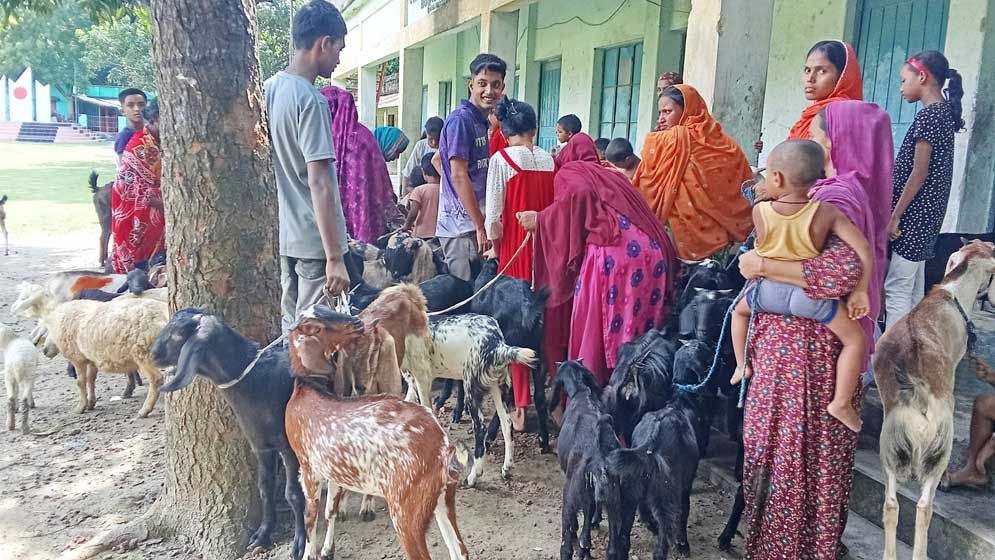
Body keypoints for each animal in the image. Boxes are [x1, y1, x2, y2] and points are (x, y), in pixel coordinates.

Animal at [152, 310, 306, 560]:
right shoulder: (260, 445)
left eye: (177, 334)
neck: (257, 380)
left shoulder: (287, 446)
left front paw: (299, 543)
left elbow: (293, 493)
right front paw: (262, 535)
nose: (152, 354)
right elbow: (265, 488)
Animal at [288, 306, 470, 560]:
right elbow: (329, 510)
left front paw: (309, 554)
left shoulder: (307, 466)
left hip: (406, 508)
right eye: (317, 326)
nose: (356, 323)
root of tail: (443, 450)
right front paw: (326, 549)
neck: (308, 389)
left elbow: (310, 515)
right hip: (443, 498)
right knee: (460, 551)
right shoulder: (332, 471)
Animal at [872, 241, 995, 560]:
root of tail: (919, 394)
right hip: (940, 451)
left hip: (888, 450)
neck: (950, 295)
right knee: (924, 507)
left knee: (891, 505)